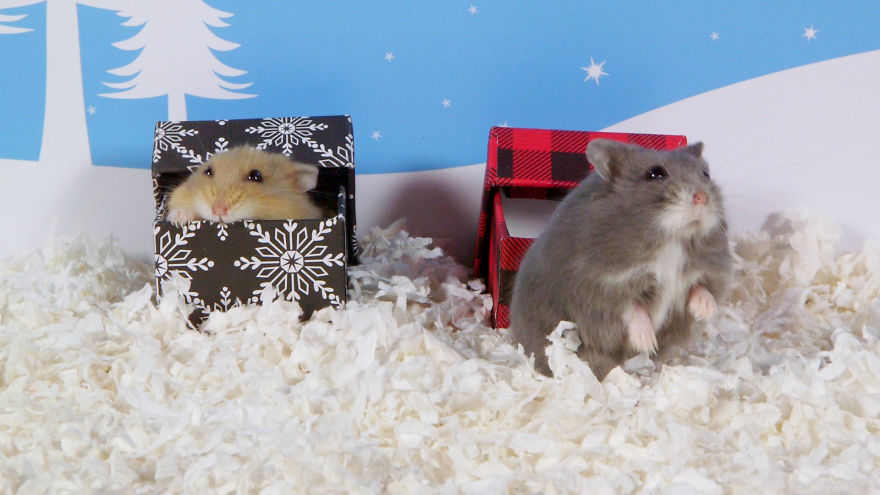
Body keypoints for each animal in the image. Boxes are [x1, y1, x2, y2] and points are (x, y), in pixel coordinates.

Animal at [510, 139, 733, 380]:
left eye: (705, 174)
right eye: (655, 173)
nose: (702, 197)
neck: (673, 238)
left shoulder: (709, 272)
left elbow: (702, 289)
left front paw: (706, 311)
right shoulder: (602, 288)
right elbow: (632, 311)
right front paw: (647, 343)